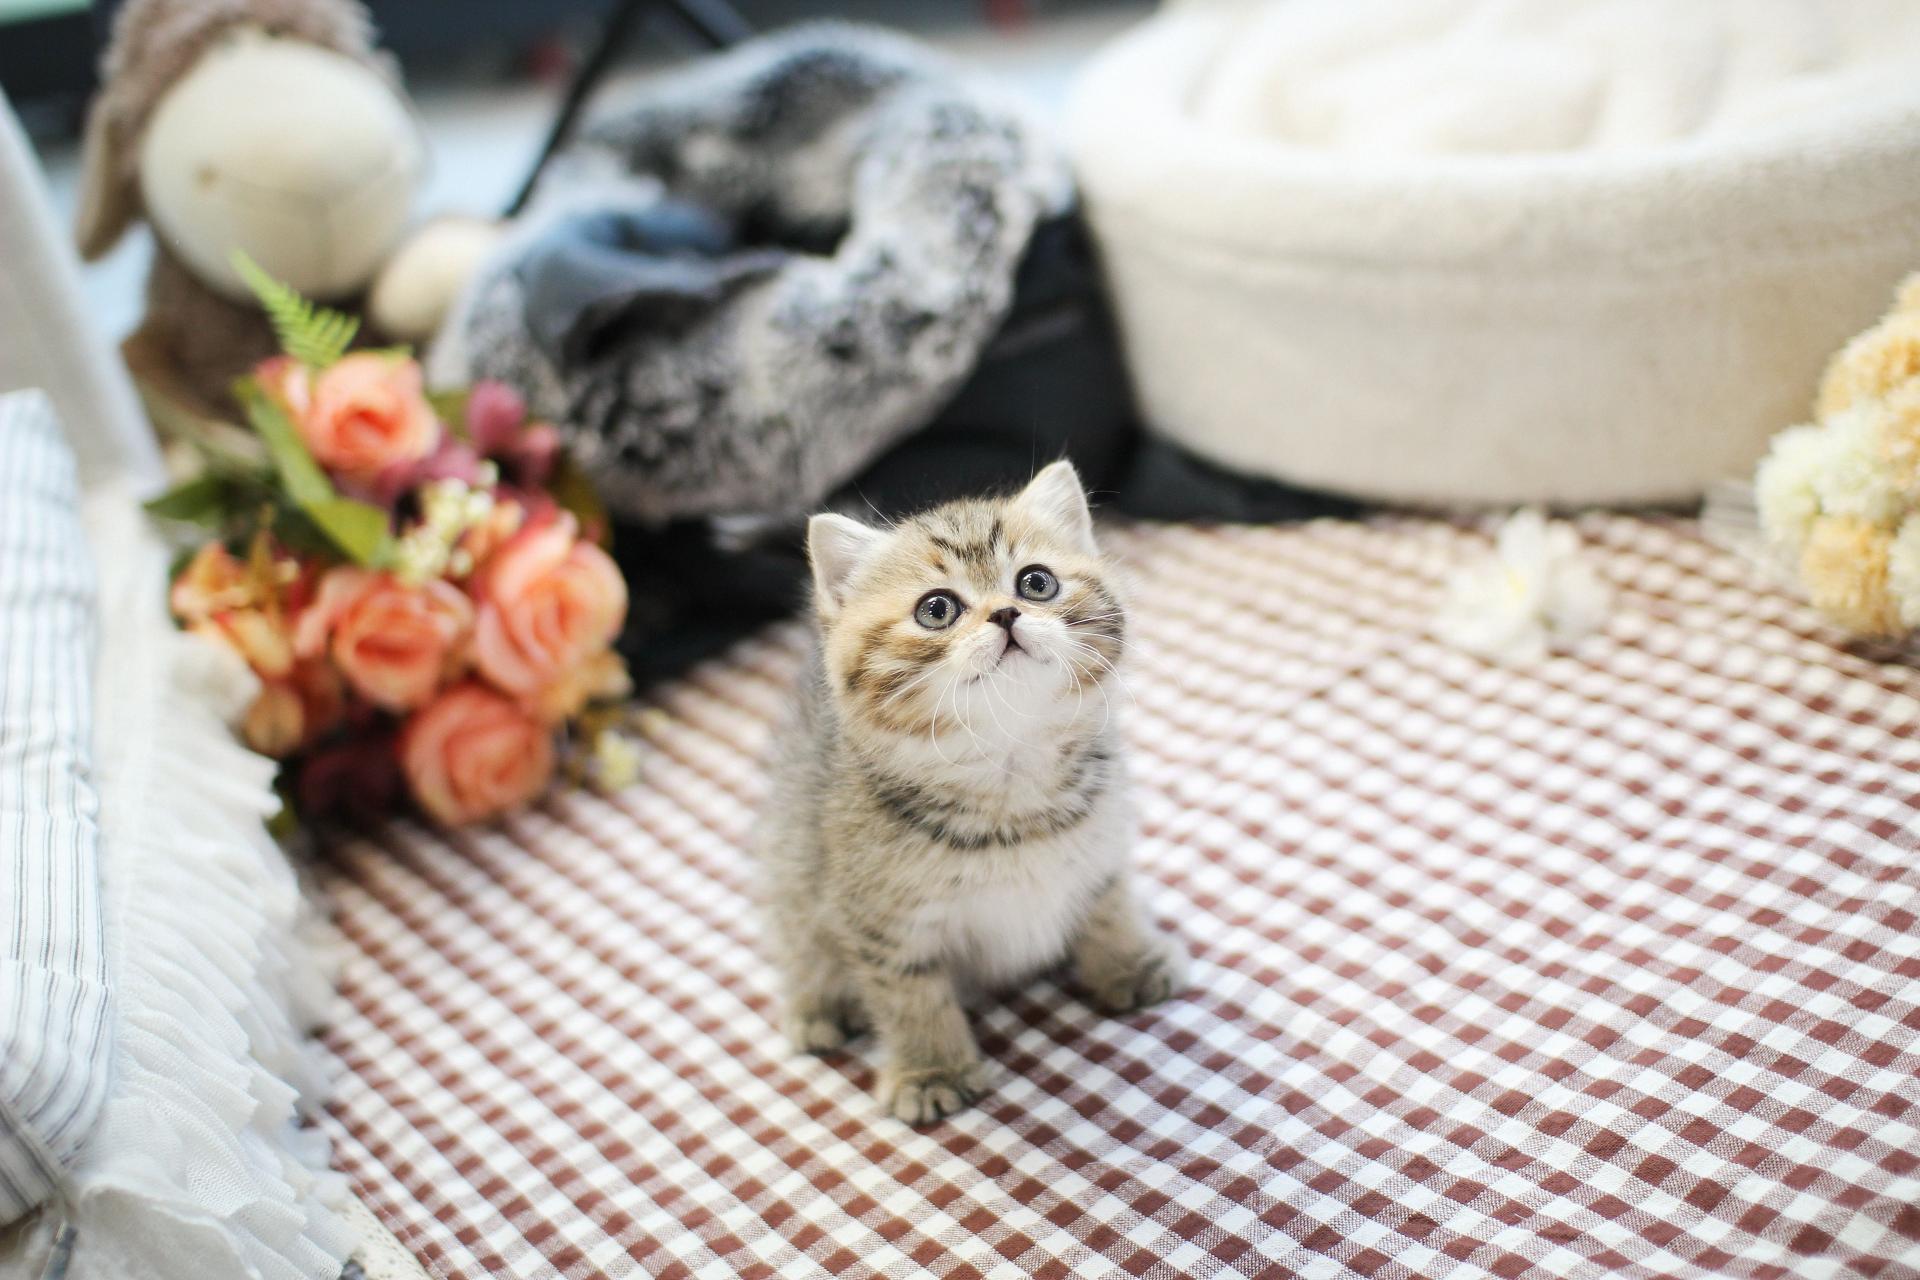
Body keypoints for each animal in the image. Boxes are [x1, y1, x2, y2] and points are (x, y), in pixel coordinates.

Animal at [755, 461, 1187, 1124]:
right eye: (937, 609)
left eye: (1036, 582)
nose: (1006, 615)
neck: (1011, 781)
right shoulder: (884, 919)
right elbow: (911, 995)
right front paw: (932, 1070)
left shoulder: (1101, 850)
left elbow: (1109, 909)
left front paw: (1129, 964)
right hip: (792, 859)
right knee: (799, 935)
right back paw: (816, 1007)